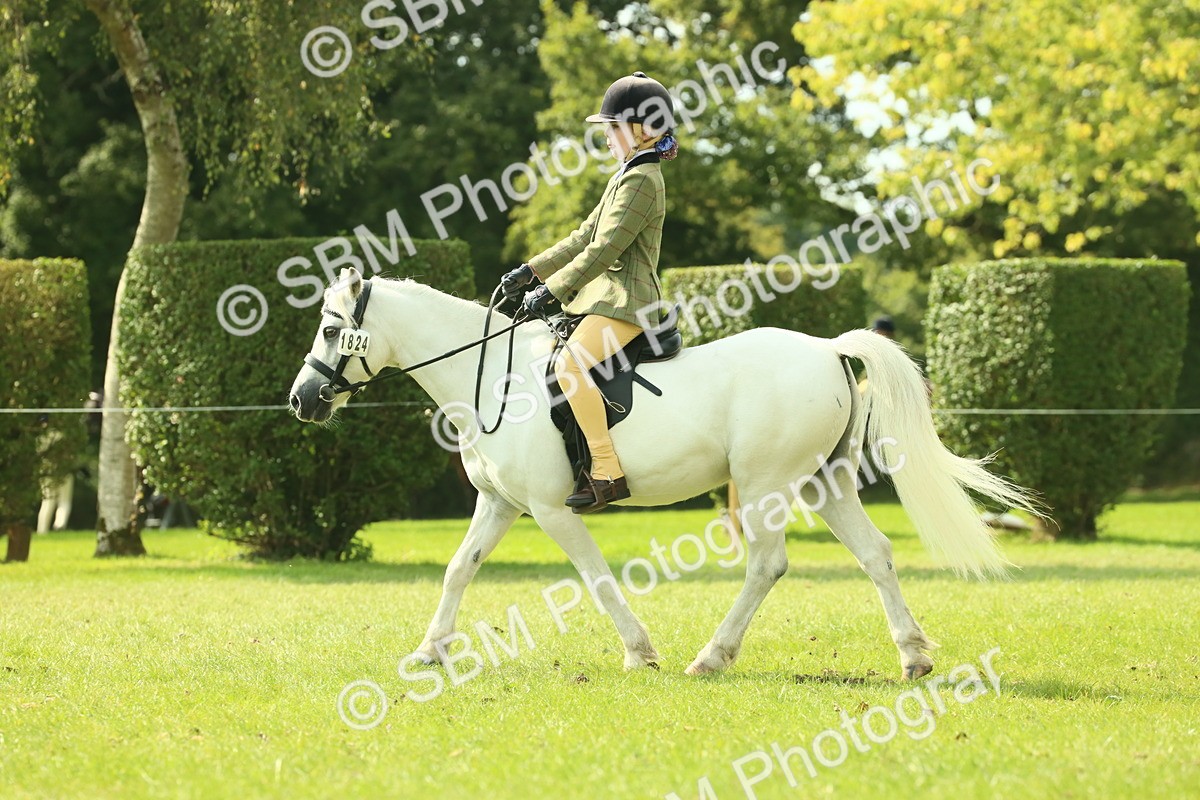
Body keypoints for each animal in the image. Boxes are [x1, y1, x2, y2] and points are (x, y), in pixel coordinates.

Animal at [289, 269, 1037, 679]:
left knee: (767, 565)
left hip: (765, 487)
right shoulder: (500, 505)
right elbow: (458, 570)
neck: (495, 377)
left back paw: (711, 656)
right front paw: (428, 652)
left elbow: (595, 579)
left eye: (329, 330)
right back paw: (913, 657)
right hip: (823, 485)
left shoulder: (553, 510)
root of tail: (826, 348)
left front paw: (639, 652)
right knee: (877, 554)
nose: (301, 401)